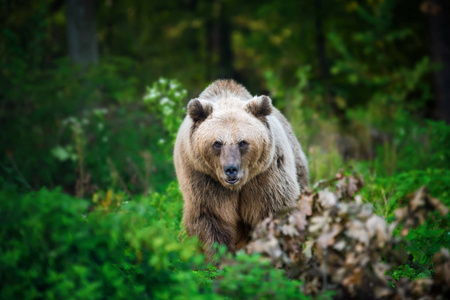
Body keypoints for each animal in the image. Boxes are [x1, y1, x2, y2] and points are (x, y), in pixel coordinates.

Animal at [173, 80, 310, 253]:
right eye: (217, 143)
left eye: (242, 142)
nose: (231, 169)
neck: (237, 186)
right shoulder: (203, 179)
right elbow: (211, 220)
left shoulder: (266, 176)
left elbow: (276, 211)